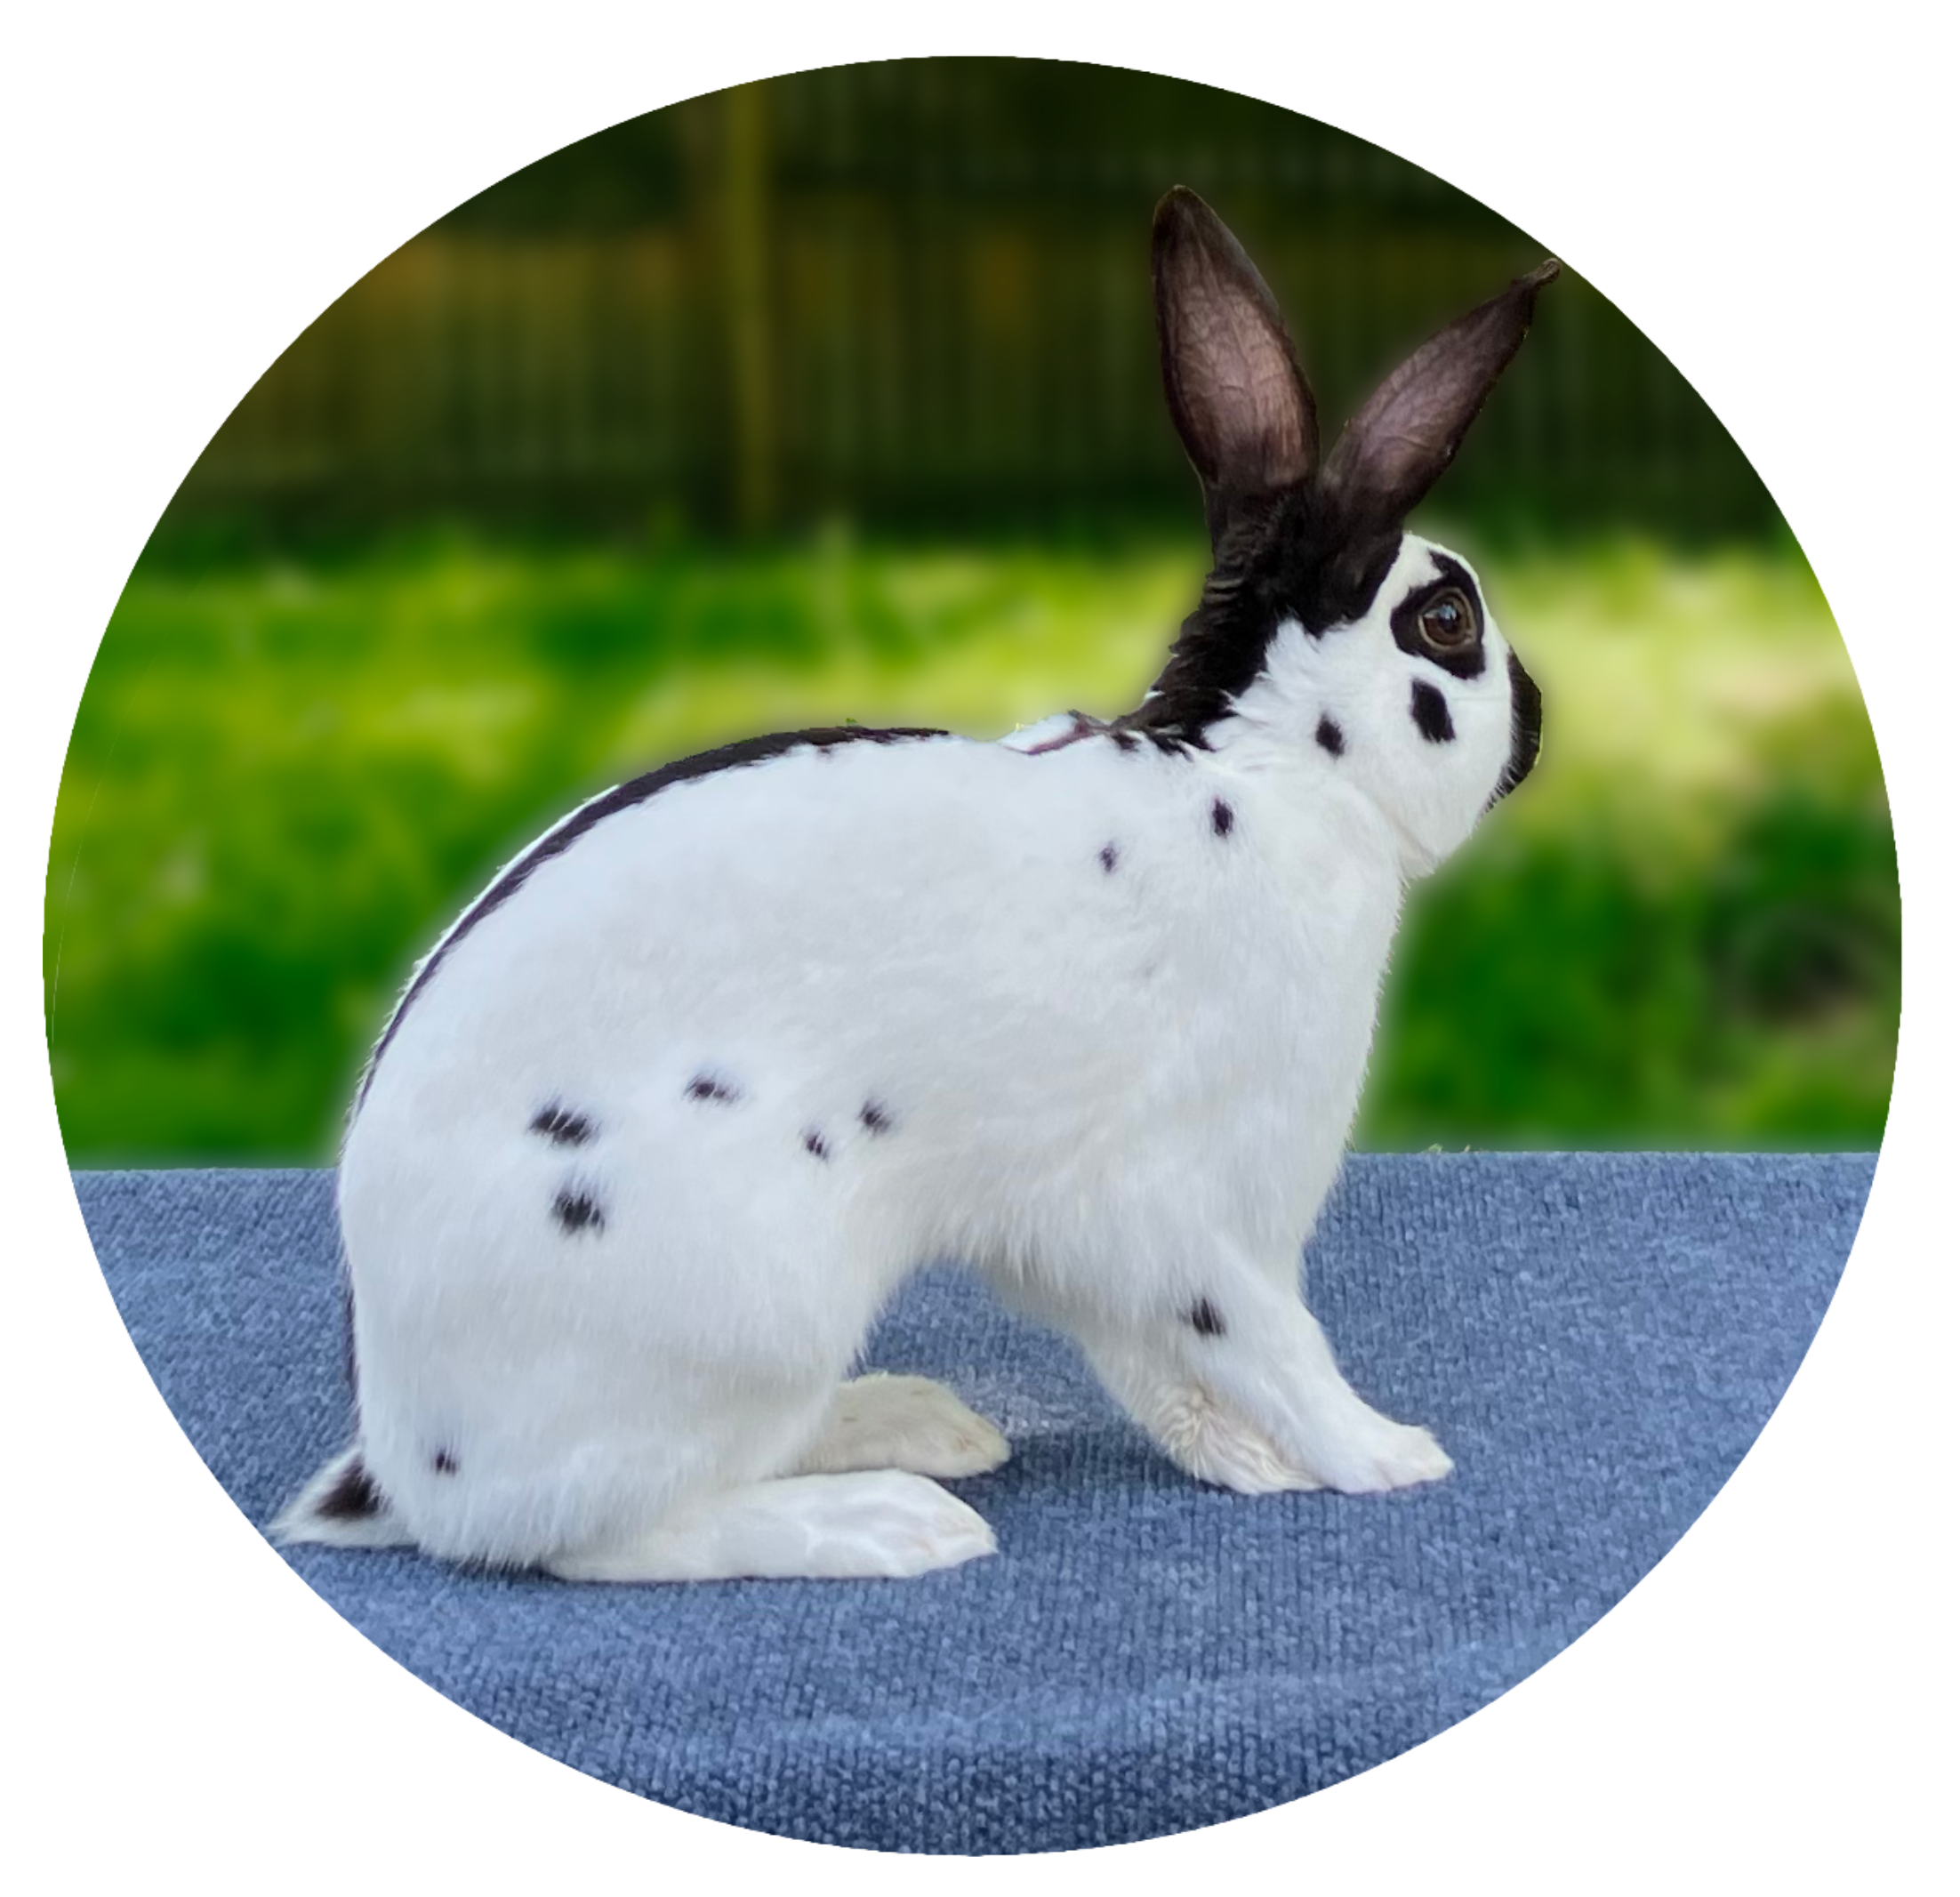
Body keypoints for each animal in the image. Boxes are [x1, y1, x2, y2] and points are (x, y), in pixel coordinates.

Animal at [272, 187, 1556, 1582]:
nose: (1542, 723)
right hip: (747, 1299)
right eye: (1446, 623)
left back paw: (924, 1426)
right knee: (605, 1537)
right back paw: (894, 1519)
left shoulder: (1103, 1245)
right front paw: (1381, 1454)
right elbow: (1269, 1343)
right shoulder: (1197, 1216)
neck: (1267, 771)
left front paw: (1244, 1460)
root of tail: (412, 1461)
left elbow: (1157, 1366)